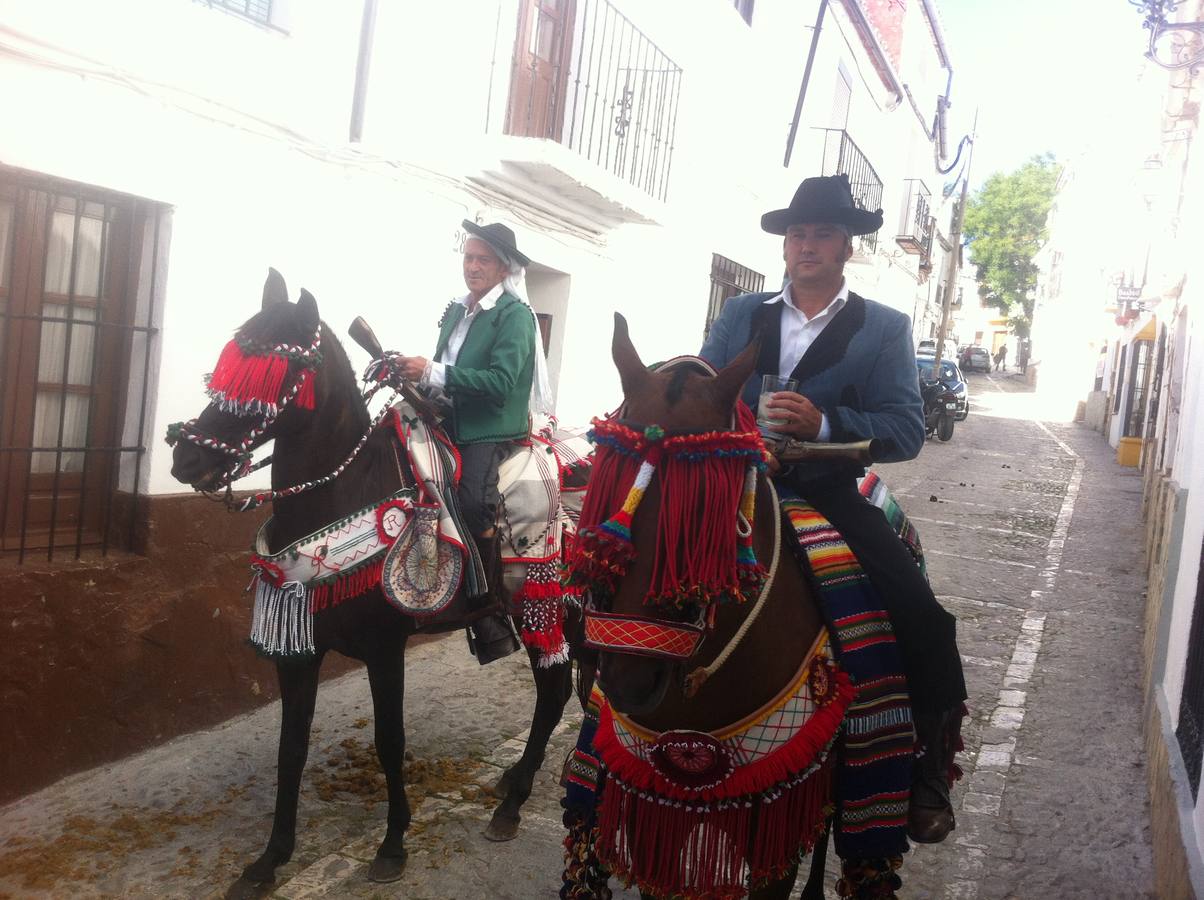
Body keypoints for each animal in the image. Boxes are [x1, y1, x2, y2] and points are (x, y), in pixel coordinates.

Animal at [170, 271, 577, 900]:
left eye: (275, 372)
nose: (186, 455)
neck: (336, 501)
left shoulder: (386, 650)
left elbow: (390, 740)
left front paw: (392, 844)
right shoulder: (299, 653)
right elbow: (291, 747)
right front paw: (269, 860)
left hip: (545, 606)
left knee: (555, 691)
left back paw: (511, 805)